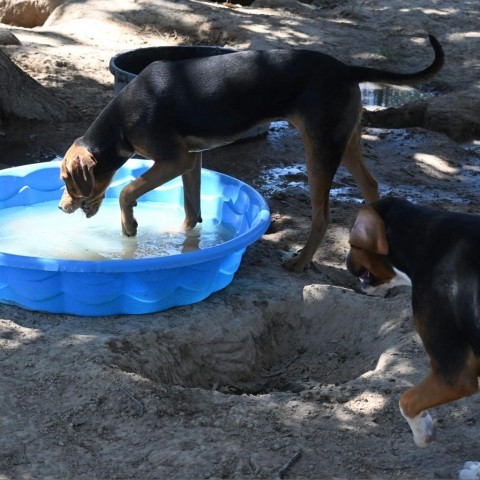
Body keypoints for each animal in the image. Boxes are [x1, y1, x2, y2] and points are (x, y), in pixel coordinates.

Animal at [61, 34, 446, 270]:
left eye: (66, 179)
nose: (63, 208)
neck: (118, 124)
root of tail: (345, 68)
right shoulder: (192, 158)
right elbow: (191, 209)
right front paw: (182, 238)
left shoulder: (174, 158)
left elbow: (127, 191)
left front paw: (129, 226)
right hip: (344, 141)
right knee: (371, 186)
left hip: (319, 151)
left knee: (323, 215)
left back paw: (301, 261)